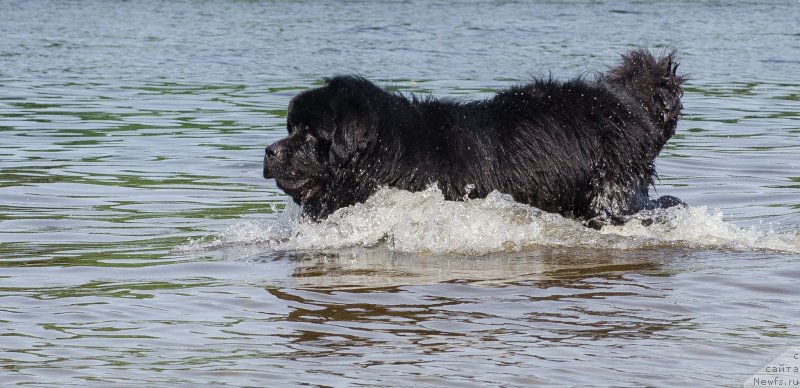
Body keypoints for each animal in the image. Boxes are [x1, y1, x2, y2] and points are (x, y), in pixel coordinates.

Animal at [264, 49, 688, 229]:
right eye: (290, 129)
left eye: (310, 135)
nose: (269, 152)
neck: (389, 152)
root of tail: (628, 104)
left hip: (610, 191)